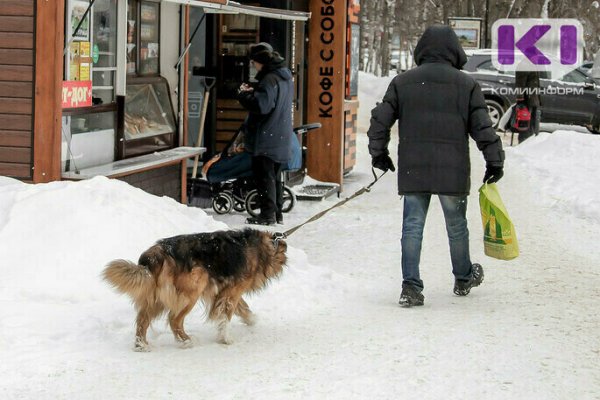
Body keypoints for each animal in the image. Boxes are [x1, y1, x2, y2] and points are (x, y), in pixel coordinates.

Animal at [102, 227, 286, 352]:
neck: (262, 248)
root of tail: (157, 253)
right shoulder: (232, 291)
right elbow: (226, 316)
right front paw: (226, 338)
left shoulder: (224, 291)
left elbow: (242, 307)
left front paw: (251, 319)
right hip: (193, 289)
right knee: (174, 319)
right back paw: (187, 341)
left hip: (159, 296)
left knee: (142, 319)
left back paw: (141, 345)